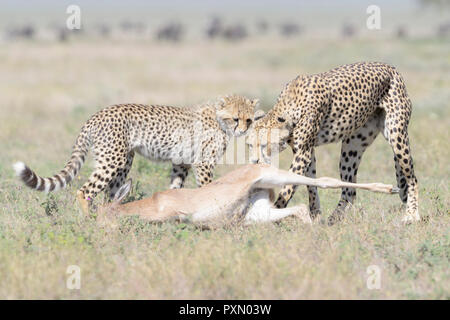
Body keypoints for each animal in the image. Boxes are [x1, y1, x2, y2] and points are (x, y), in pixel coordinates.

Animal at [14, 95, 260, 215]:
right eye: (235, 118)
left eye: (249, 119)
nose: (243, 130)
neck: (218, 118)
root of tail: (96, 114)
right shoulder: (203, 163)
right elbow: (208, 188)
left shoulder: (181, 162)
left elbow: (175, 188)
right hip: (113, 159)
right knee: (85, 191)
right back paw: (87, 220)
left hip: (124, 162)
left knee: (111, 194)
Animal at [246, 61, 418, 224]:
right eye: (249, 145)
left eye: (264, 145)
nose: (254, 162)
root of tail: (390, 67)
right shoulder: (306, 152)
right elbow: (310, 184)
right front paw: (315, 215)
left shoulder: (303, 153)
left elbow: (288, 187)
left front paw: (273, 213)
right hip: (352, 148)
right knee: (349, 192)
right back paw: (333, 220)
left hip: (397, 136)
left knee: (412, 179)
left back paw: (411, 215)